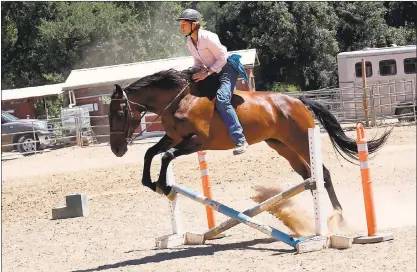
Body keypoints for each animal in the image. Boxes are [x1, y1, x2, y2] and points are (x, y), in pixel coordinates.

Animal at [106, 68, 390, 215]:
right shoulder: (174, 137)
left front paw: (163, 185)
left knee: (323, 174)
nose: (116, 149)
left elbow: (165, 156)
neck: (180, 100)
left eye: (119, 113)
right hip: (282, 146)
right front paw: (150, 182)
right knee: (308, 176)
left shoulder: (197, 141)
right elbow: (150, 153)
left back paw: (338, 215)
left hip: (300, 140)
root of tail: (298, 101)